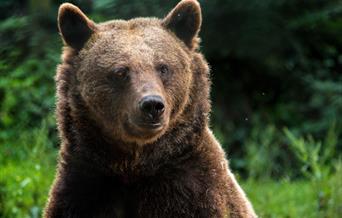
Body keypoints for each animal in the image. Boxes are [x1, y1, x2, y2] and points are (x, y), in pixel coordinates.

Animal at [43, 0, 256, 217]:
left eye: (163, 67)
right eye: (120, 72)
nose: (152, 105)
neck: (135, 165)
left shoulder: (195, 191)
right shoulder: (84, 187)